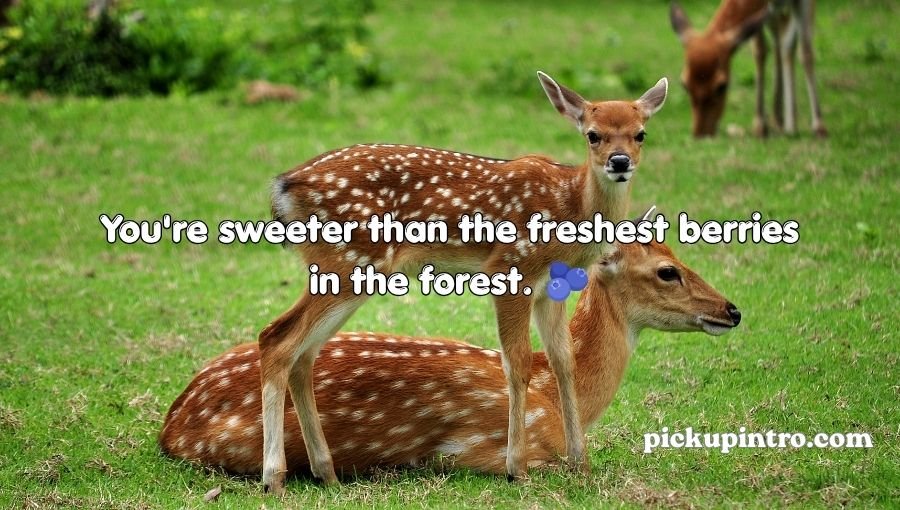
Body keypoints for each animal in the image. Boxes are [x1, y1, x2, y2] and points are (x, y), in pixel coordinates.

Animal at [256, 72, 668, 492]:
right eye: (592, 134)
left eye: (640, 133)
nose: (619, 162)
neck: (570, 205)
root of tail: (285, 187)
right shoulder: (511, 265)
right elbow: (517, 363)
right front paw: (516, 468)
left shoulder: (551, 290)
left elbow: (563, 361)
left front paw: (580, 465)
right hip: (349, 259)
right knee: (277, 338)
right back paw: (273, 477)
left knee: (303, 353)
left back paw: (326, 472)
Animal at [670, 0, 827, 138]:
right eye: (684, 84)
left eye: (722, 86)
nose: (701, 134)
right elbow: (759, 51)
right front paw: (759, 126)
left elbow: (805, 52)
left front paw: (819, 127)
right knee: (779, 40)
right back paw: (779, 119)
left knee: (787, 44)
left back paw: (790, 124)